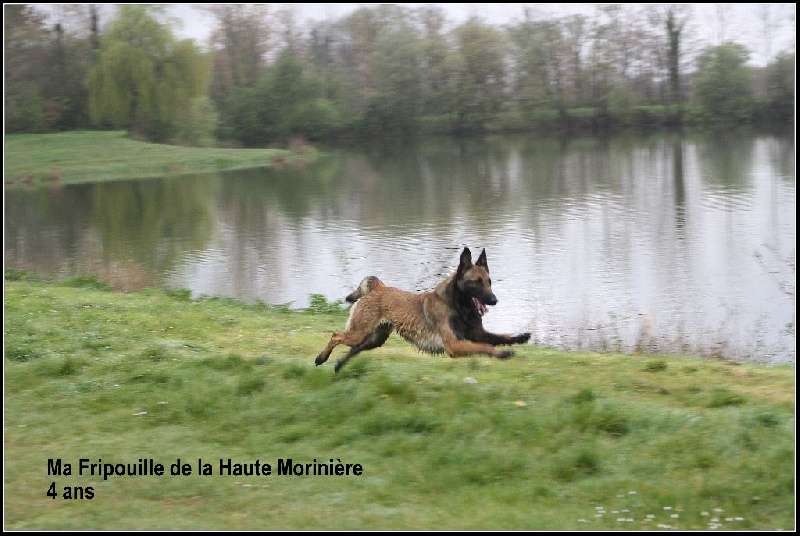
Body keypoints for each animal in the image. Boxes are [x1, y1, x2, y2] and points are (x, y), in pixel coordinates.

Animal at [314, 247, 532, 372]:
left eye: (489, 282)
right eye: (477, 282)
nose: (494, 300)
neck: (457, 306)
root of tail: (379, 288)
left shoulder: (477, 333)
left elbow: (500, 337)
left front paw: (520, 337)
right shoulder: (454, 345)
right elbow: (486, 347)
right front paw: (503, 354)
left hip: (375, 339)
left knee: (353, 349)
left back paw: (337, 365)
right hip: (360, 332)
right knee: (336, 336)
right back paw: (321, 358)